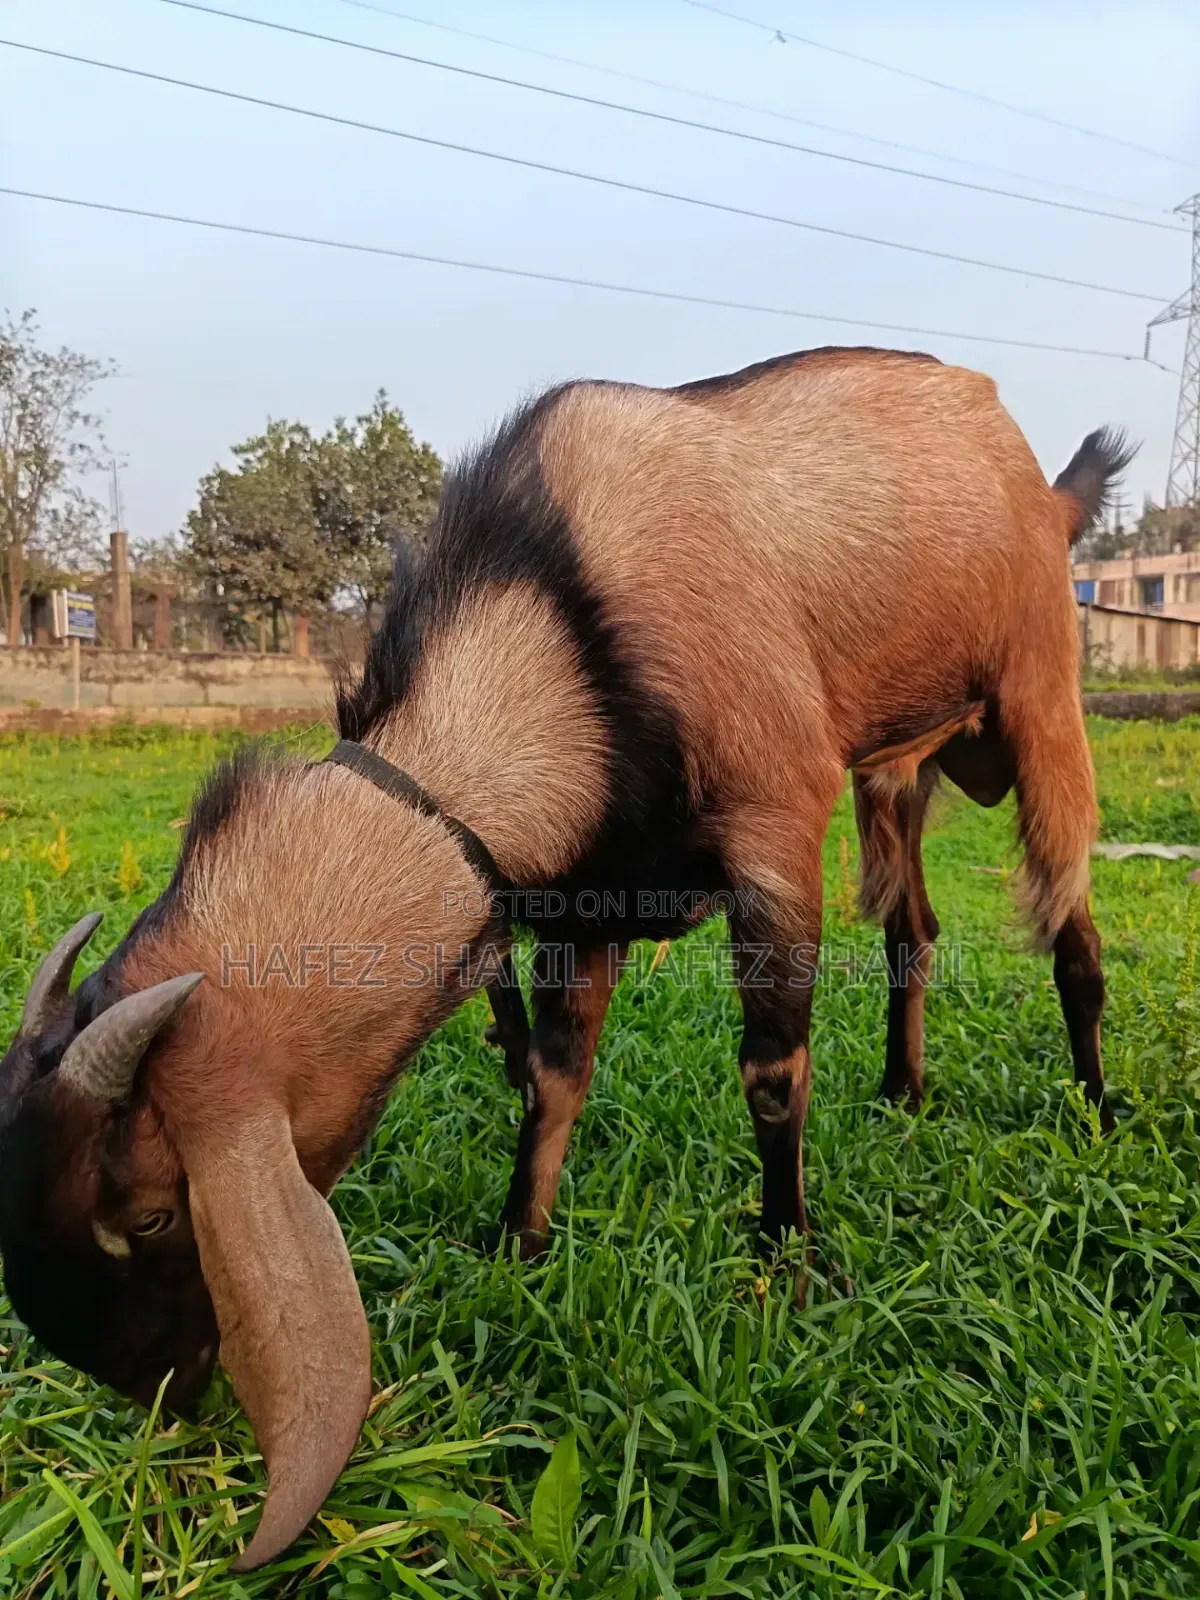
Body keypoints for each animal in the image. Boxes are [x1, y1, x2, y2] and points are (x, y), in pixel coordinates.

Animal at [0, 346, 1132, 1569]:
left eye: (152, 1214)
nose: (153, 1393)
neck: (554, 624)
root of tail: (1038, 482)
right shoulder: (583, 904)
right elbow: (552, 1077)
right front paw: (519, 1244)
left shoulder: (777, 821)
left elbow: (771, 1072)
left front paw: (785, 1260)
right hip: (901, 767)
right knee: (913, 928)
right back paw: (904, 1088)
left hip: (1037, 693)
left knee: (1068, 922)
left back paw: (1095, 1105)